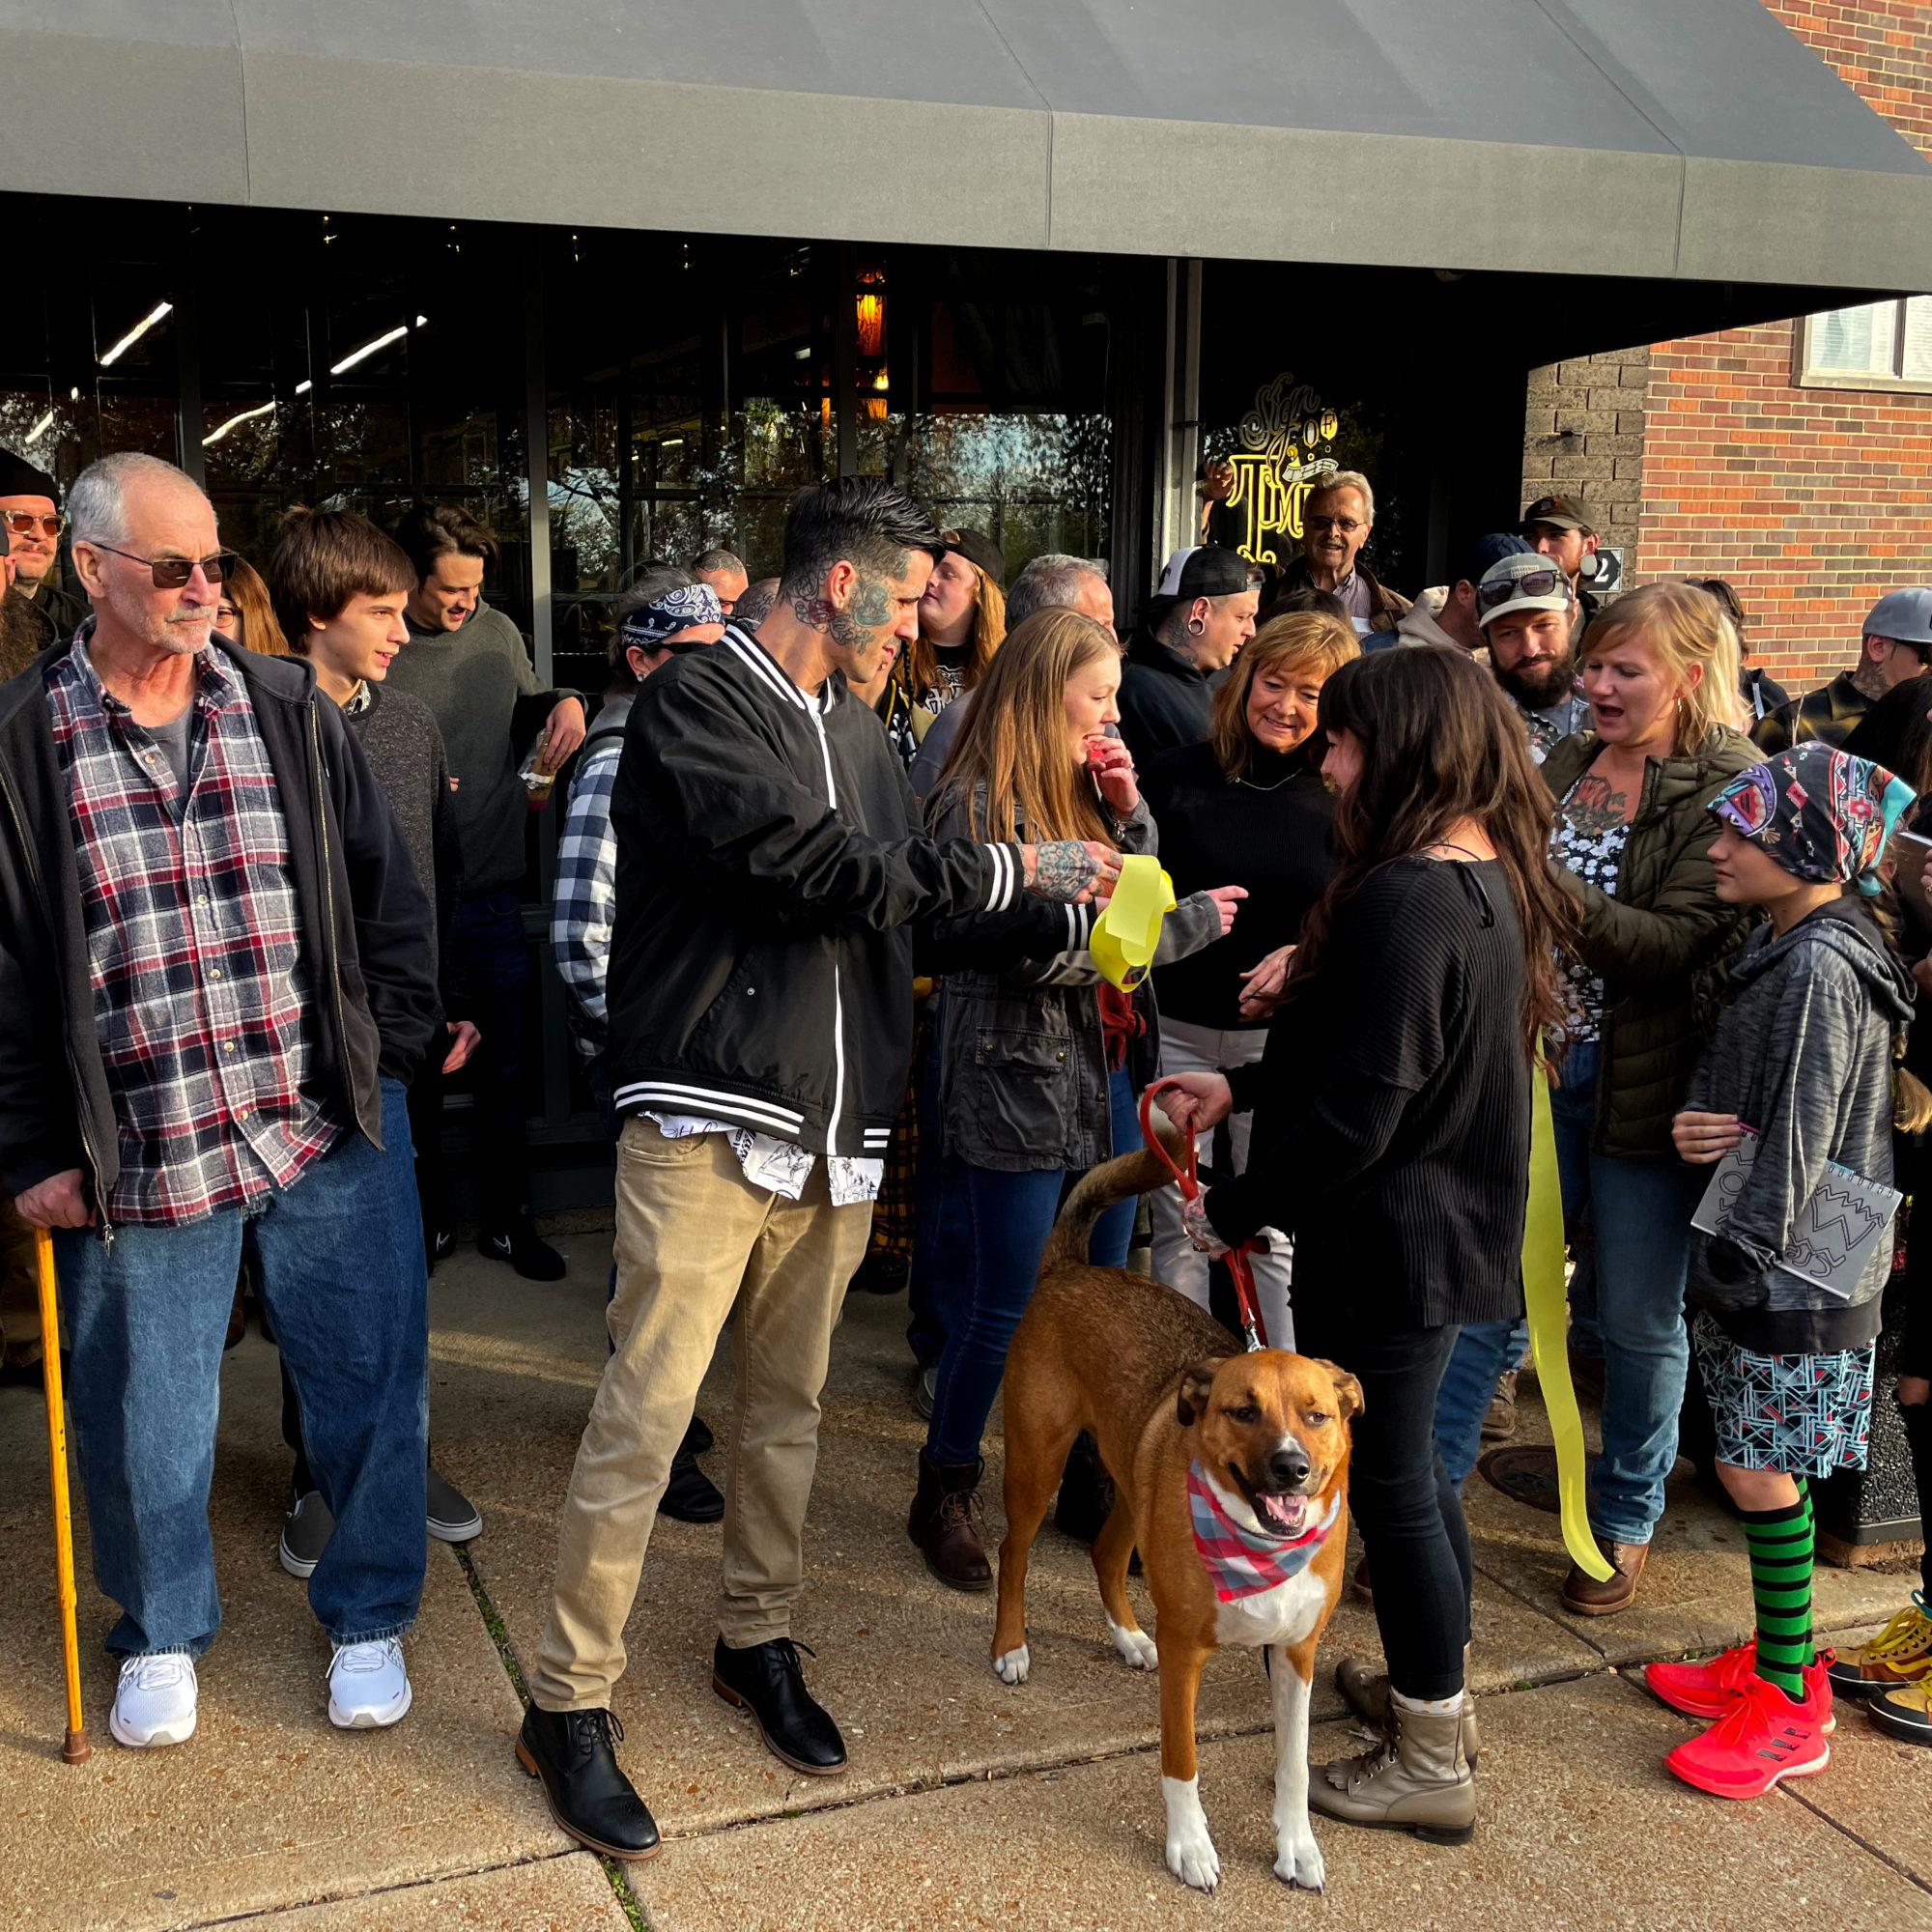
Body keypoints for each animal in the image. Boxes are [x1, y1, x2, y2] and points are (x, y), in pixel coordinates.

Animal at [989, 1128, 1352, 1886]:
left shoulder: (1297, 1655)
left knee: (1105, 1552)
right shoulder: (1189, 1655)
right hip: (1039, 1465)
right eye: (1243, 1411)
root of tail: (1073, 1269)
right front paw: (1190, 1846)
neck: (1257, 1546)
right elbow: (1181, 1762)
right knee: (1013, 1551)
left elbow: (1295, 1764)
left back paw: (1127, 1636)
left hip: (1132, 1479)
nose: (1293, 1468)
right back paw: (1011, 1647)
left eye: (1317, 1416)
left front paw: (1297, 1843)